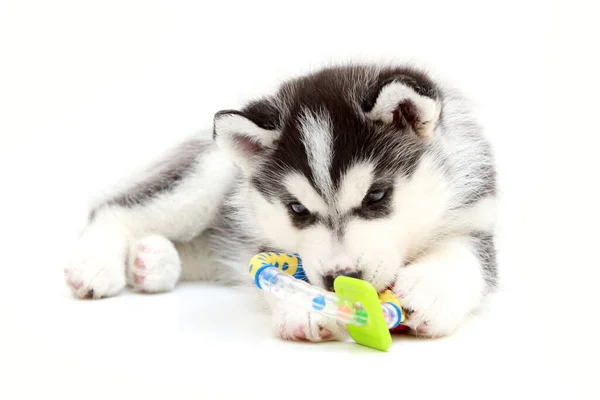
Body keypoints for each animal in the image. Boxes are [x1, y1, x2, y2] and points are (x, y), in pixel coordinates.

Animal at [64, 63, 496, 340]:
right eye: (297, 210)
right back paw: (97, 265)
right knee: (115, 209)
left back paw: (151, 262)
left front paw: (431, 288)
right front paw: (302, 304)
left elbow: (465, 255)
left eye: (376, 195)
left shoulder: (477, 212)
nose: (339, 279)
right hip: (206, 177)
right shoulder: (262, 233)